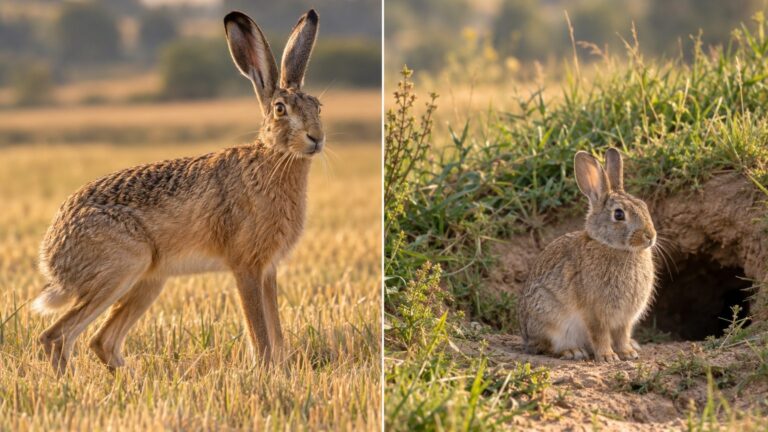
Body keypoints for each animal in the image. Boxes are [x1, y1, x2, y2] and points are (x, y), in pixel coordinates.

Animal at [33, 9, 323, 374]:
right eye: (281, 109)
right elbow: (260, 332)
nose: (316, 138)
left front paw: (281, 372)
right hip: (120, 269)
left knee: (101, 341)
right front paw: (266, 372)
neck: (274, 157)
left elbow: (276, 331)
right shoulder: (246, 266)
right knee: (56, 336)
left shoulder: (267, 269)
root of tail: (52, 254)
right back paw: (70, 383)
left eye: (318, 106)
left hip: (149, 280)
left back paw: (132, 380)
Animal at [518, 148, 656, 362]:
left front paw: (627, 353)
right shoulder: (594, 312)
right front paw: (608, 356)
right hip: (549, 317)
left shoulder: (624, 318)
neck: (614, 248)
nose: (650, 236)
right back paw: (572, 351)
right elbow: (599, 334)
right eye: (618, 214)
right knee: (547, 345)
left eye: (644, 206)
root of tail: (526, 337)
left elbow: (622, 334)